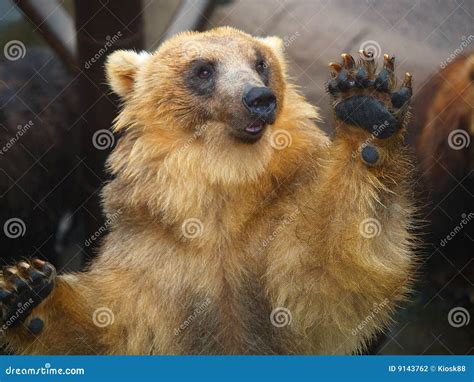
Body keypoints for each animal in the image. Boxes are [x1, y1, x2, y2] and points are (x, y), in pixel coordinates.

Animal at [0, 26, 414, 356]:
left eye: (260, 62)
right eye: (203, 69)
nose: (259, 98)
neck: (220, 190)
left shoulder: (275, 223)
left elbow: (329, 269)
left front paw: (367, 102)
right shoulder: (152, 245)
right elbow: (112, 325)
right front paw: (25, 289)